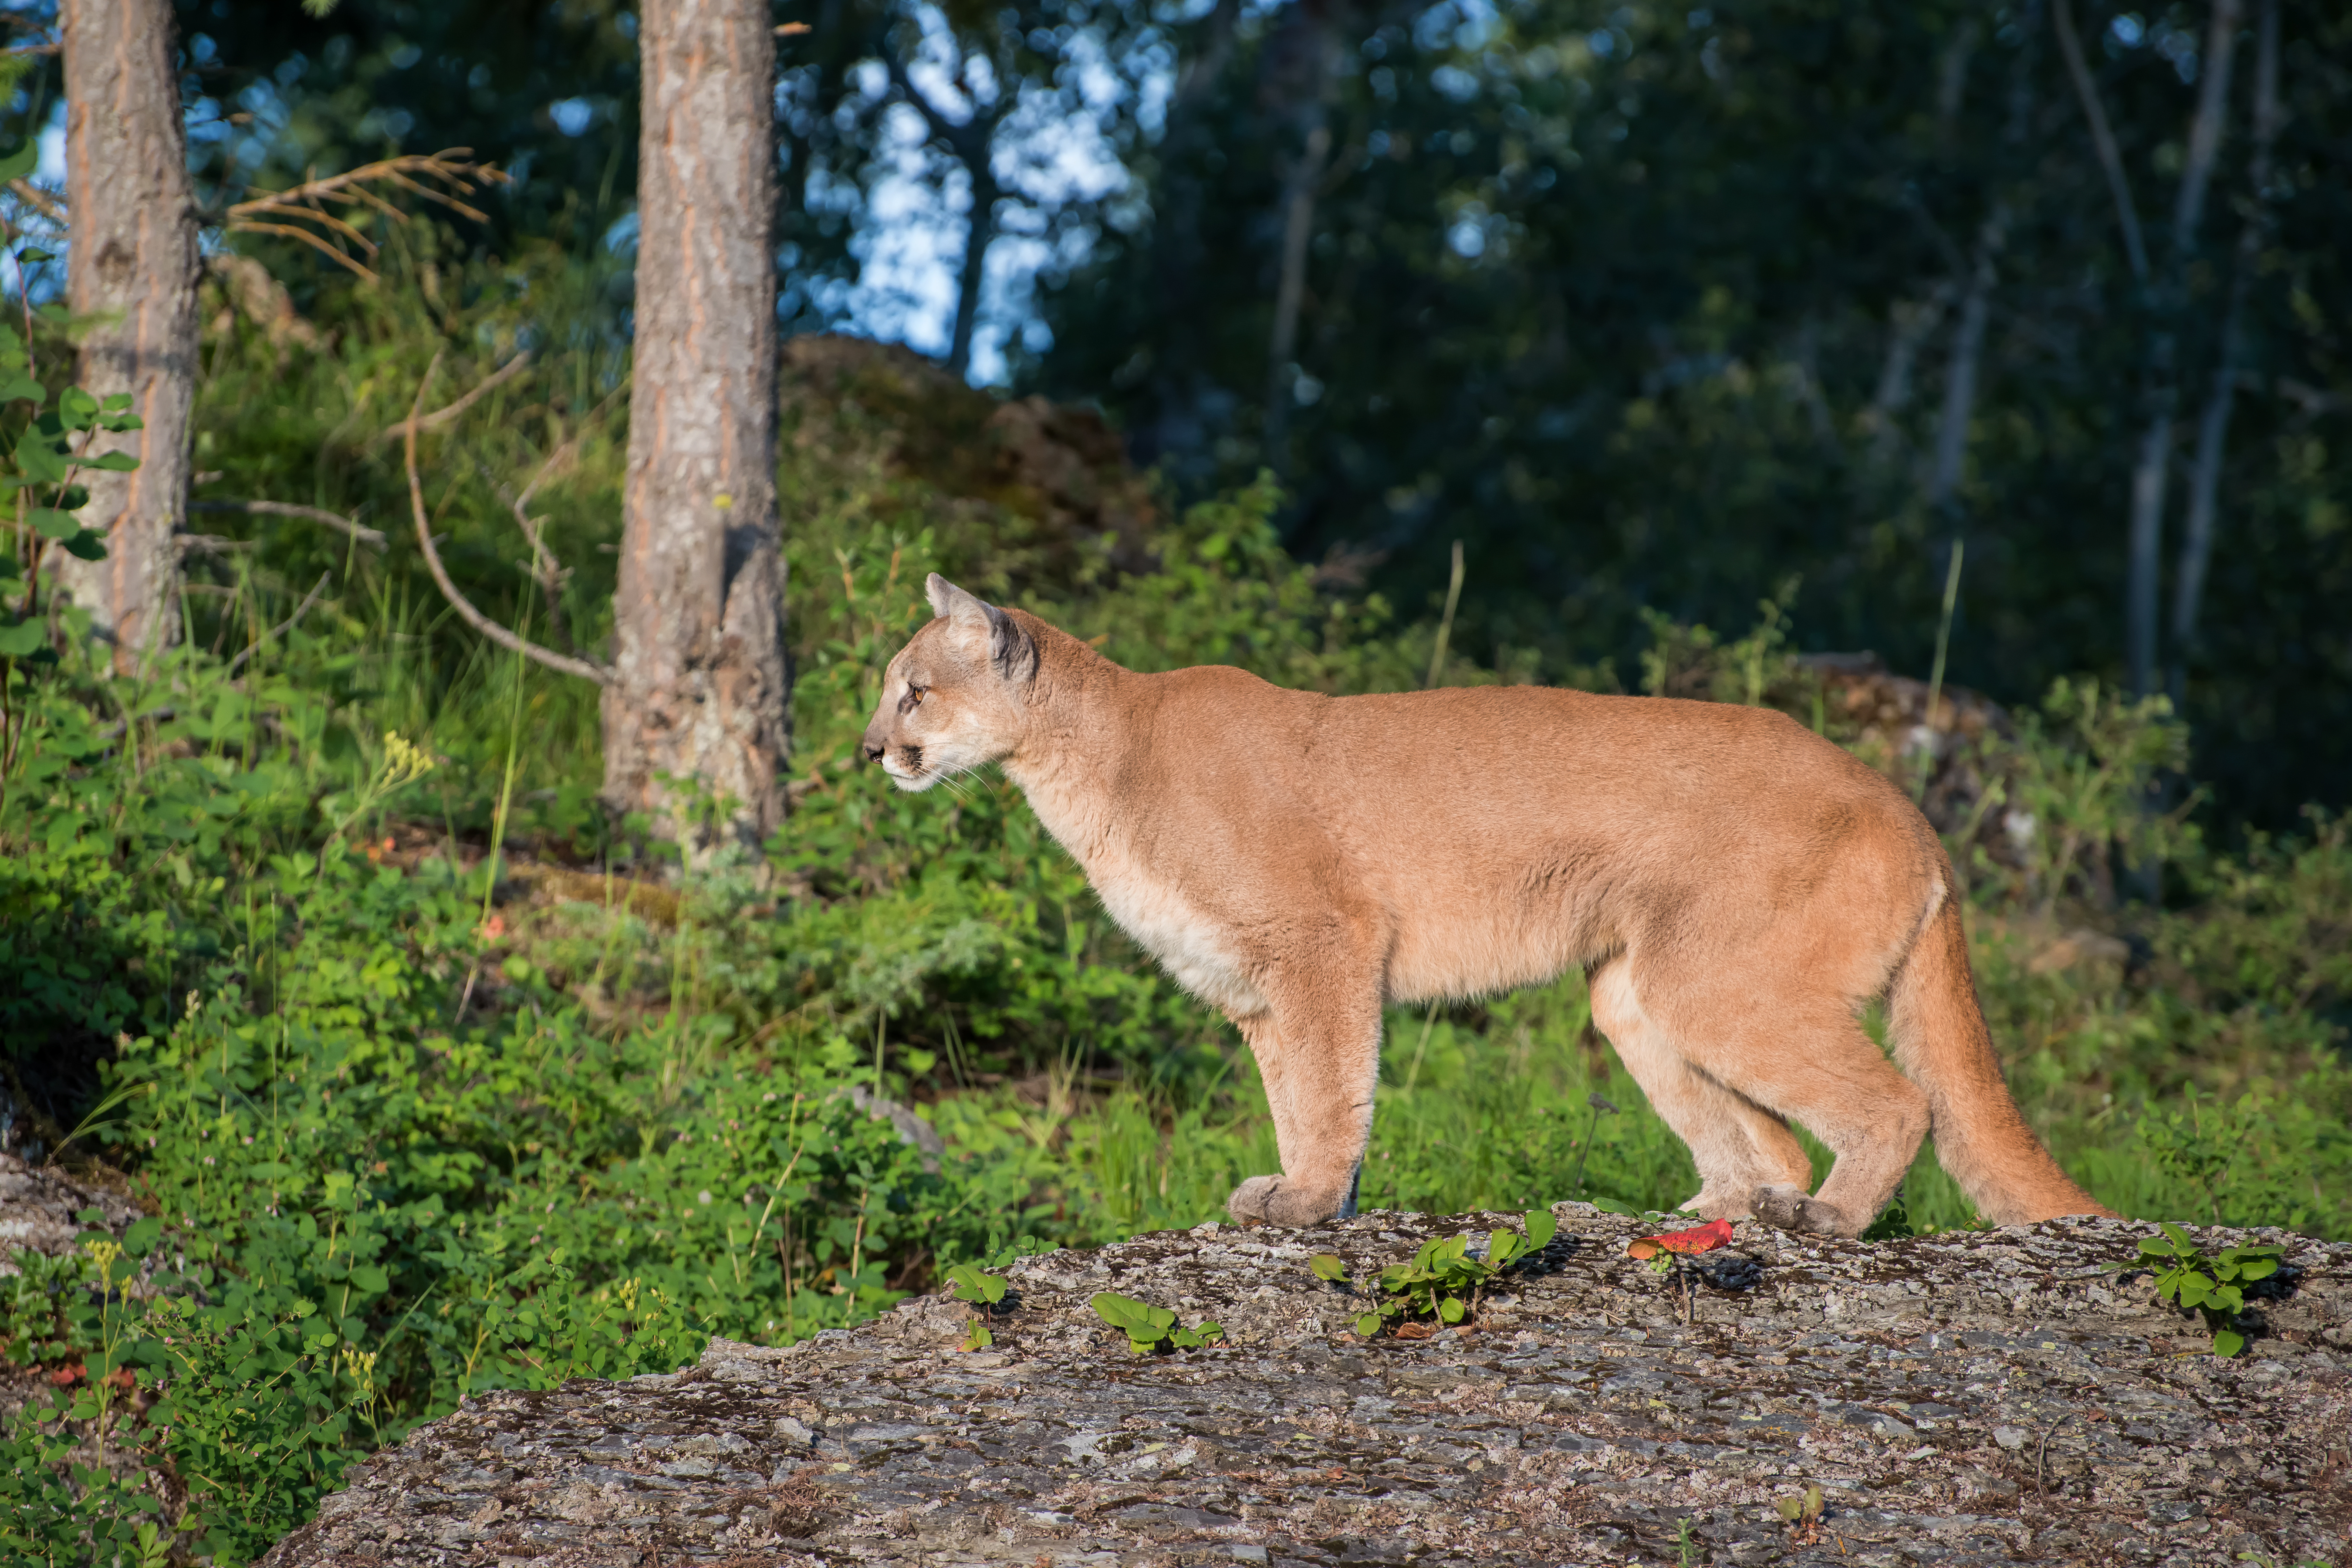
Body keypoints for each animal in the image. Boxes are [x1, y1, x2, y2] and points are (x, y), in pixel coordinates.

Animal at [861, 576, 2117, 1241]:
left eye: (915, 689)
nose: (872, 748)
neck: (1089, 761)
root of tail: (1906, 802)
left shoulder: (1323, 943)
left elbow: (1332, 1089)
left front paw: (1311, 1199)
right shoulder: (1257, 991)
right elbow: (1297, 1093)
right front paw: (1306, 1196)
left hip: (1717, 983)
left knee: (1900, 1103)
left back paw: (1826, 1223)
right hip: (1637, 995)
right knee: (1771, 1142)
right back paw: (1685, 1217)